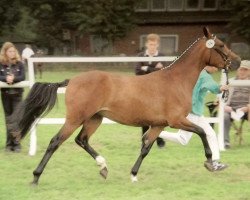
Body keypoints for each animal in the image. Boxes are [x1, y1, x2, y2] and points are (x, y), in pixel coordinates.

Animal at [12, 27, 239, 184]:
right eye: (220, 45)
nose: (236, 62)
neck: (175, 80)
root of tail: (72, 80)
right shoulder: (176, 121)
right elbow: (202, 132)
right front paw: (210, 162)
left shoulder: (159, 124)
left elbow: (146, 146)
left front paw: (133, 175)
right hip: (75, 118)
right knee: (55, 141)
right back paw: (35, 177)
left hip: (95, 118)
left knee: (81, 140)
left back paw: (103, 167)